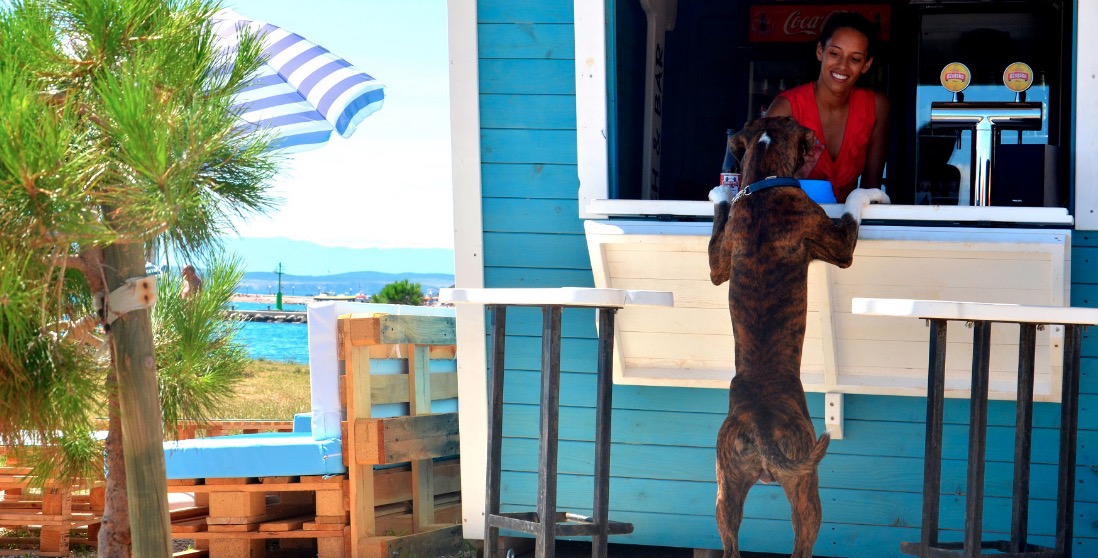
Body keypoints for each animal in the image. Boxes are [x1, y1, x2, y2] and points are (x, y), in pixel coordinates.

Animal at [707, 115, 887, 555]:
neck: (764, 183)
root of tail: (759, 422)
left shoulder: (719, 263)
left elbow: (719, 223)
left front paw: (720, 191)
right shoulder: (838, 244)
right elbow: (854, 199)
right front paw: (874, 191)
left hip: (726, 488)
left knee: (730, 542)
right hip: (806, 486)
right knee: (802, 543)